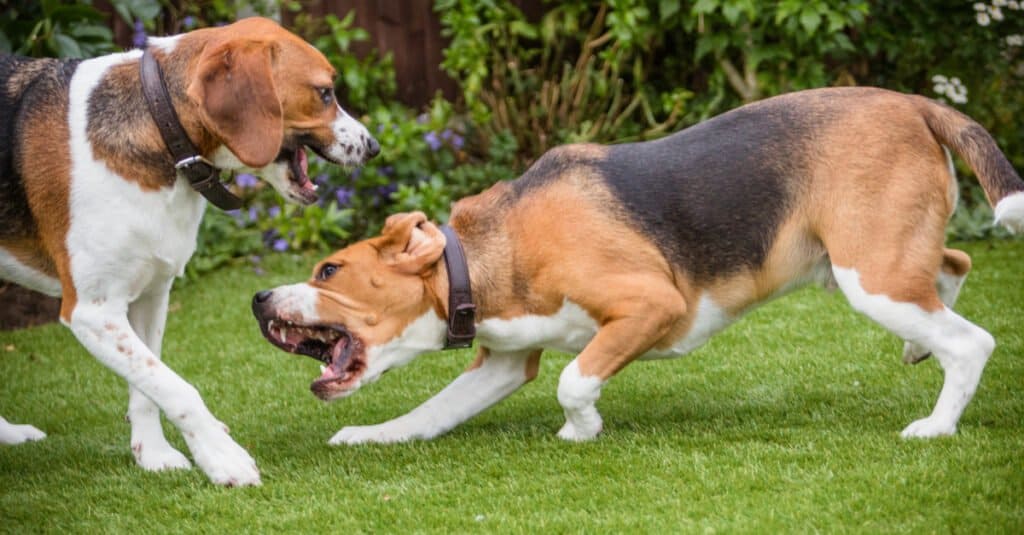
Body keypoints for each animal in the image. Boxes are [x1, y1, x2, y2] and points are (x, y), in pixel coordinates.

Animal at [0, 15, 380, 483]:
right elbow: (175, 387)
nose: (373, 146)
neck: (161, 128)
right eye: (325, 93)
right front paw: (221, 456)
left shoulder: (149, 296)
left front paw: (154, 455)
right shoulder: (92, 311)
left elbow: (148, 387)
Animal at [251, 88, 1019, 444]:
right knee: (953, 264)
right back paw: (920, 346)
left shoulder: (652, 306)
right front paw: (372, 436)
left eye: (327, 270)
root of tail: (911, 101)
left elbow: (573, 379)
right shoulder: (503, 360)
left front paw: (580, 429)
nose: (258, 300)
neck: (481, 255)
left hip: (868, 274)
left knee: (973, 341)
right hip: (870, 263)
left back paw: (937, 424)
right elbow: (427, 412)